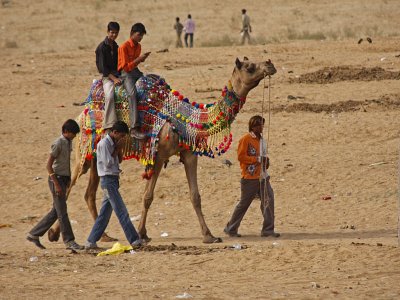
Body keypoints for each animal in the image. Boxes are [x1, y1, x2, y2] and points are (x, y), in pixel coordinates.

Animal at [48, 56, 276, 244]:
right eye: (249, 66)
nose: (270, 64)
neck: (188, 120)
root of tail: (81, 113)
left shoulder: (189, 154)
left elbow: (195, 196)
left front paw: (209, 235)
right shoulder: (157, 155)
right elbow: (148, 196)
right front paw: (142, 234)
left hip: (96, 157)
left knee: (89, 193)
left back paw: (103, 236)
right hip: (83, 151)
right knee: (69, 187)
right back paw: (54, 234)